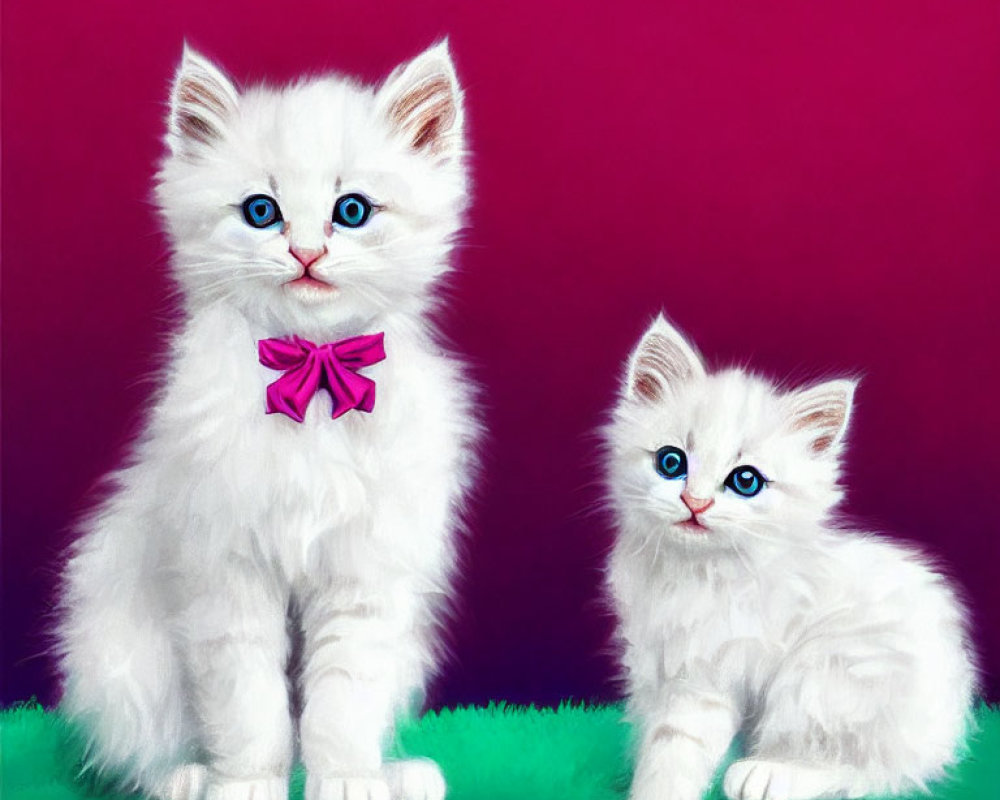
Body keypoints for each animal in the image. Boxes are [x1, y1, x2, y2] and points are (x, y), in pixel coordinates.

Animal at [56, 42, 478, 800]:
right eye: (261, 212)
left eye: (351, 210)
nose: (306, 253)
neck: (312, 376)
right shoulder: (226, 576)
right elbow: (248, 704)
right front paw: (246, 784)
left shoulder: (363, 581)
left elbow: (339, 705)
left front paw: (347, 780)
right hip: (126, 660)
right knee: (154, 746)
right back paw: (187, 778)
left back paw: (398, 775)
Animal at [604, 316, 972, 800]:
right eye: (671, 462)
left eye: (745, 481)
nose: (695, 502)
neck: (688, 572)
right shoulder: (653, 661)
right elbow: (654, 737)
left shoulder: (708, 672)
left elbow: (676, 750)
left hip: (824, 672)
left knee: (868, 769)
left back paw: (766, 773)